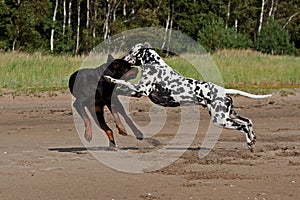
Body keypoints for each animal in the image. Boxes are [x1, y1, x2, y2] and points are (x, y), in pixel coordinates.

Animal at [105, 43, 272, 151]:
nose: (122, 58)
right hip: (229, 115)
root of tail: (223, 90)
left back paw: (250, 143)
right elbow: (121, 90)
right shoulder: (138, 92)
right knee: (248, 122)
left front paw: (109, 78)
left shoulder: (141, 89)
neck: (155, 65)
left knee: (243, 126)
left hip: (221, 120)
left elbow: (121, 82)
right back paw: (253, 139)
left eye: (131, 51)